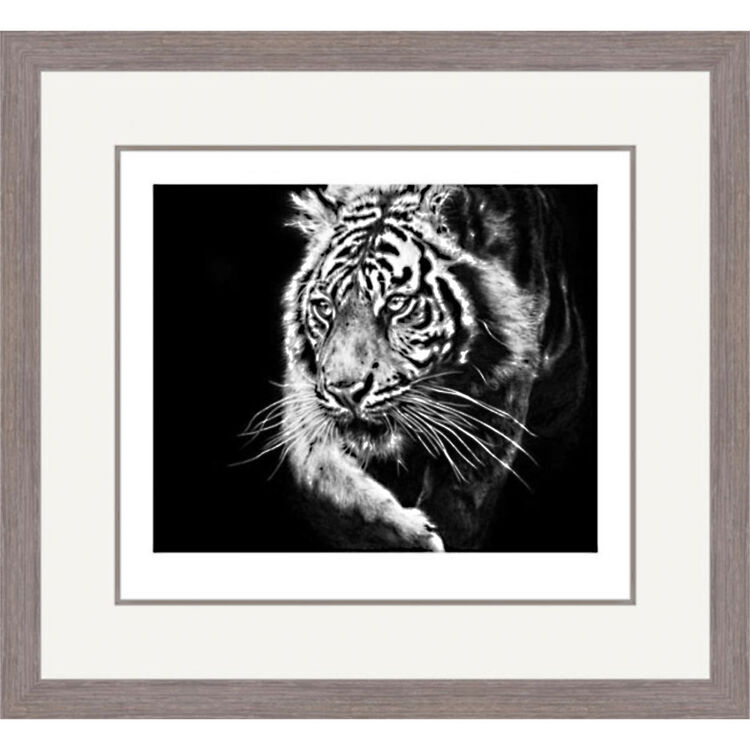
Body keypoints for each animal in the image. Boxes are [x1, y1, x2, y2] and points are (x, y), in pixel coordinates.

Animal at [247, 184, 587, 550]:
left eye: (397, 303)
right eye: (324, 307)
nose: (345, 392)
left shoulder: (496, 403)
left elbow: (463, 502)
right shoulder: (306, 412)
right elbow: (332, 484)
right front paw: (415, 535)